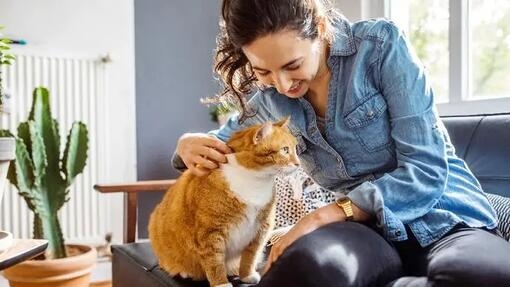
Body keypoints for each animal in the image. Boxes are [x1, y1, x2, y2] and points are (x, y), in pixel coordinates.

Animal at [148, 117, 298, 287]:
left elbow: (250, 257)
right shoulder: (210, 234)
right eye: (285, 150)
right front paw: (221, 283)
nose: (298, 163)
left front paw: (246, 275)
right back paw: (185, 271)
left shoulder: (260, 230)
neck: (254, 181)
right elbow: (215, 263)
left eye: (295, 149)